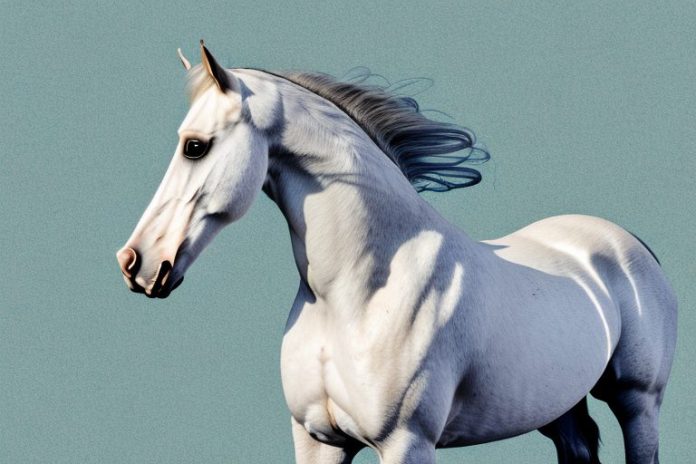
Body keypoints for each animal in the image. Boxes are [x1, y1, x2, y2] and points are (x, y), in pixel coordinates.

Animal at [116, 41, 677, 463]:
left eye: (195, 146)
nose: (135, 263)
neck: (358, 293)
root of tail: (627, 243)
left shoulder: (407, 443)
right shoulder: (319, 441)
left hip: (638, 403)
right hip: (556, 408)